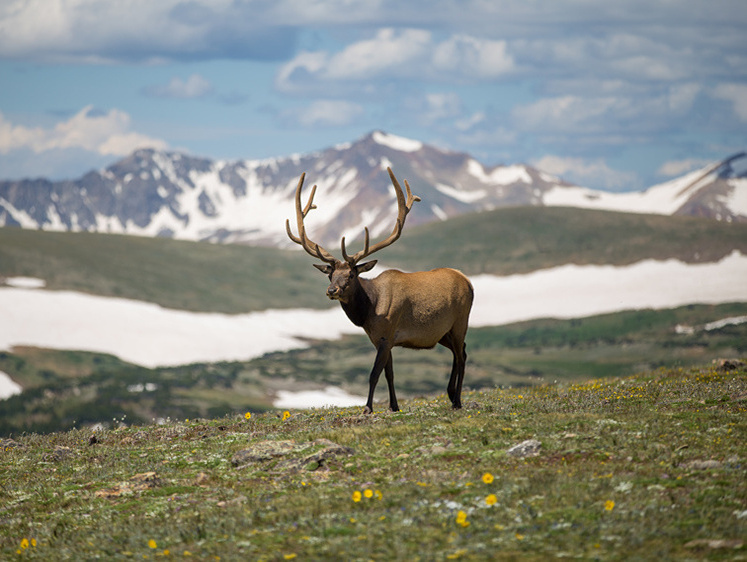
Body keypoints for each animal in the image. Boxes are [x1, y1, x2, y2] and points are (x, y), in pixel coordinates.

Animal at [286, 166, 474, 412]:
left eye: (351, 275)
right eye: (330, 274)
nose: (332, 291)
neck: (369, 312)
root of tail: (468, 281)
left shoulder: (386, 333)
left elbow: (374, 374)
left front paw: (368, 408)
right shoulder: (381, 339)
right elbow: (389, 374)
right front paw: (394, 406)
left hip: (461, 321)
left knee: (462, 356)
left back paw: (458, 400)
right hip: (442, 332)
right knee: (461, 351)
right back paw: (451, 394)